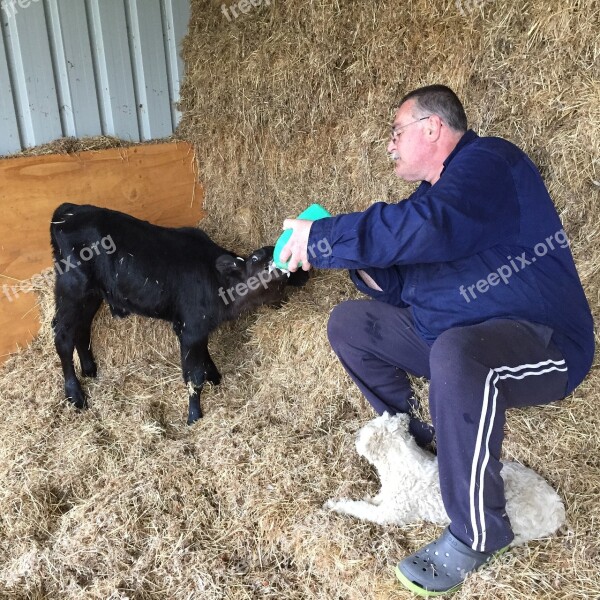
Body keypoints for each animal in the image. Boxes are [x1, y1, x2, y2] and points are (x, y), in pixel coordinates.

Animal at [326, 414, 564, 548]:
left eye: (363, 432)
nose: (354, 437)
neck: (401, 462)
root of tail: (557, 510)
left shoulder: (392, 513)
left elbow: (362, 509)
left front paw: (334, 505)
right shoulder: (387, 497)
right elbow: (370, 499)